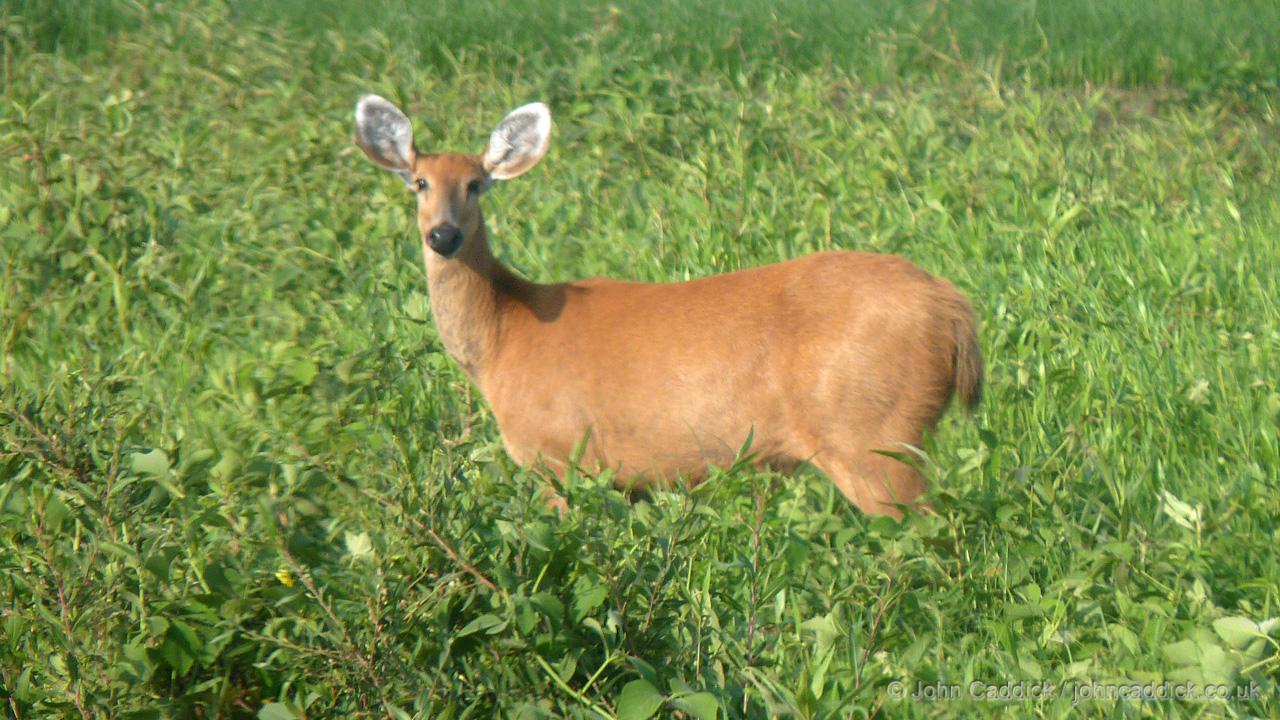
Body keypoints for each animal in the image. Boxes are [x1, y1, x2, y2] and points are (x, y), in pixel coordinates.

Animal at [353, 94, 983, 518]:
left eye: (477, 184)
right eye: (418, 182)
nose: (443, 236)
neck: (505, 335)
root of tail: (952, 308)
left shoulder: (560, 455)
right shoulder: (627, 480)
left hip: (875, 433)